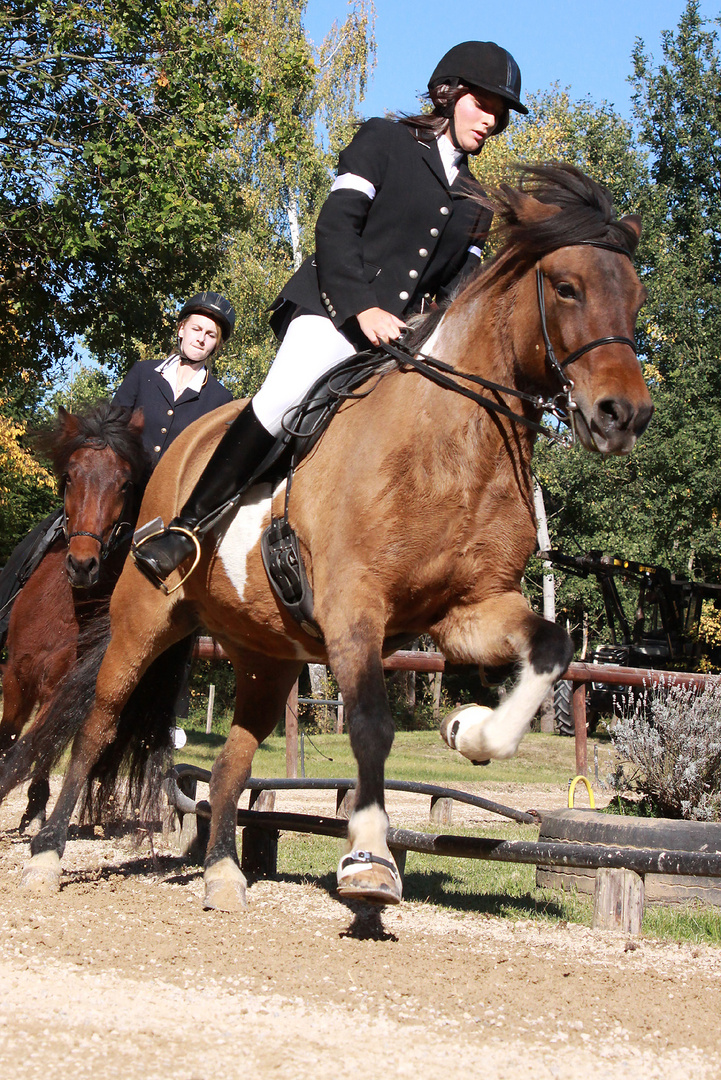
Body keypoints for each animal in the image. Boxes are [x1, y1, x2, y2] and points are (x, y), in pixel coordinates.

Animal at [0, 406, 147, 825]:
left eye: (125, 484)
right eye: (69, 477)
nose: (82, 565)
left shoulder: (60, 685)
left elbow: (39, 742)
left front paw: (35, 802)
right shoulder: (15, 674)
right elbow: (9, 734)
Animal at [18, 168, 651, 907]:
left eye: (635, 296)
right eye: (567, 287)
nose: (624, 415)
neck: (452, 443)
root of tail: (178, 446)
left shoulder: (466, 610)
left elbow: (550, 648)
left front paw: (470, 729)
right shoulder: (355, 608)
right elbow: (371, 724)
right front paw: (369, 859)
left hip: (266, 657)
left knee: (232, 761)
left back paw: (223, 875)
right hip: (144, 618)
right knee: (97, 726)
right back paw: (46, 854)